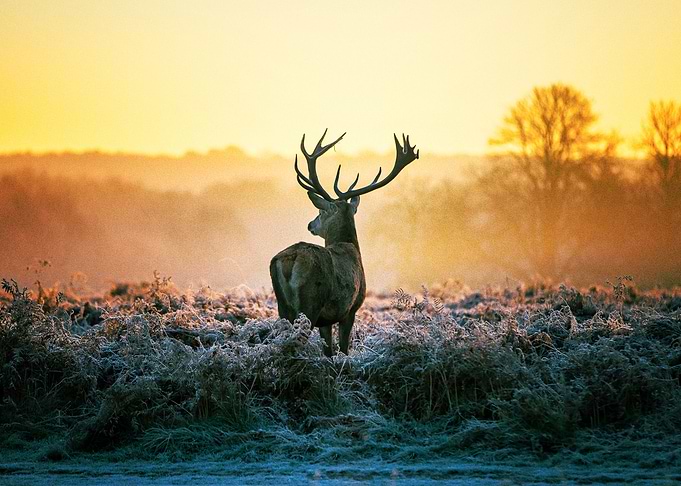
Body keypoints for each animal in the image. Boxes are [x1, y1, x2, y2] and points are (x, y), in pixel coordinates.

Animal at [270, 129, 419, 356]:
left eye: (320, 211)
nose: (310, 224)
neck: (349, 245)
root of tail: (290, 259)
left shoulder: (326, 320)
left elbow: (329, 351)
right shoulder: (350, 309)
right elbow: (343, 349)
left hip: (283, 306)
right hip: (310, 303)